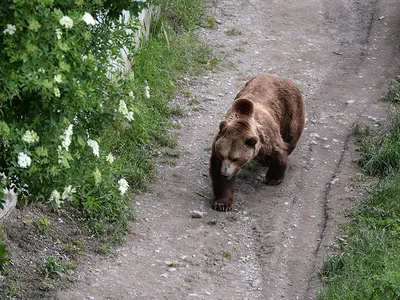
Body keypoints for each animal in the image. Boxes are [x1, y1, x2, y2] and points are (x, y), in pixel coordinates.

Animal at [209, 74, 306, 211]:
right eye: (223, 155)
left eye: (235, 158)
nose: (225, 174)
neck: (242, 119)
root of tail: (280, 77)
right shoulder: (218, 144)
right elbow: (218, 173)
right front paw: (222, 203)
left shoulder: (267, 136)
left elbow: (279, 150)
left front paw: (273, 178)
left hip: (291, 108)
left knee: (291, 136)